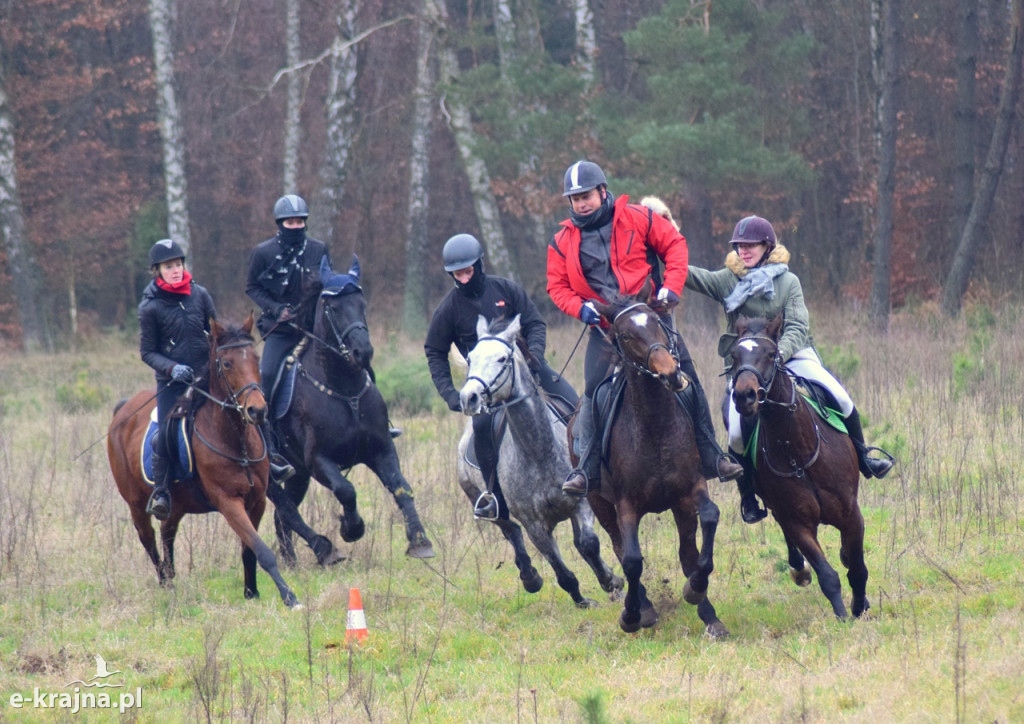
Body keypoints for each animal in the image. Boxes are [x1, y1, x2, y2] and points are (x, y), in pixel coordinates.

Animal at [109, 313, 299, 610]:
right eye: (227, 363)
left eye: (255, 358)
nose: (257, 410)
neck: (235, 440)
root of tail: (122, 411)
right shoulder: (228, 501)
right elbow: (263, 550)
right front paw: (289, 597)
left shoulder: (256, 501)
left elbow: (250, 549)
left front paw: (251, 591)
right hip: (136, 504)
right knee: (148, 540)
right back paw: (164, 583)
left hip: (175, 505)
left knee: (166, 533)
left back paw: (171, 580)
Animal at [266, 258, 434, 565]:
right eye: (333, 307)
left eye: (362, 304)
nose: (363, 352)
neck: (344, 390)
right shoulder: (318, 460)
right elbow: (346, 490)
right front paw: (351, 528)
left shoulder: (381, 449)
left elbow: (402, 487)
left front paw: (419, 541)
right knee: (286, 509)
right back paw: (324, 548)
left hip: (298, 474)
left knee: (281, 515)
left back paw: (292, 561)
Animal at [458, 315, 622, 606]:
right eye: (470, 358)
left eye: (502, 358)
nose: (469, 397)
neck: (539, 451)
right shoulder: (534, 525)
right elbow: (561, 570)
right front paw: (582, 599)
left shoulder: (580, 502)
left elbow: (588, 543)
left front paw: (611, 581)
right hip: (483, 500)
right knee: (510, 532)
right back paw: (530, 577)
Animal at [581, 290, 733, 639]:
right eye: (625, 335)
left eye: (657, 323)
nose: (671, 373)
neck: (655, 426)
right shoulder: (625, 504)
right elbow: (632, 560)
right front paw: (633, 615)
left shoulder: (691, 489)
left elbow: (709, 518)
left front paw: (696, 590)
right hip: (599, 504)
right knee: (620, 549)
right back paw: (645, 608)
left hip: (678, 506)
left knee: (687, 552)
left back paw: (707, 610)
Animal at [733, 313, 868, 618]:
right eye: (735, 356)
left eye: (771, 354)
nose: (744, 396)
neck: (798, 453)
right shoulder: (797, 522)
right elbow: (827, 575)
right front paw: (844, 617)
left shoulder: (851, 512)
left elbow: (857, 568)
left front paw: (860, 607)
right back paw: (799, 569)